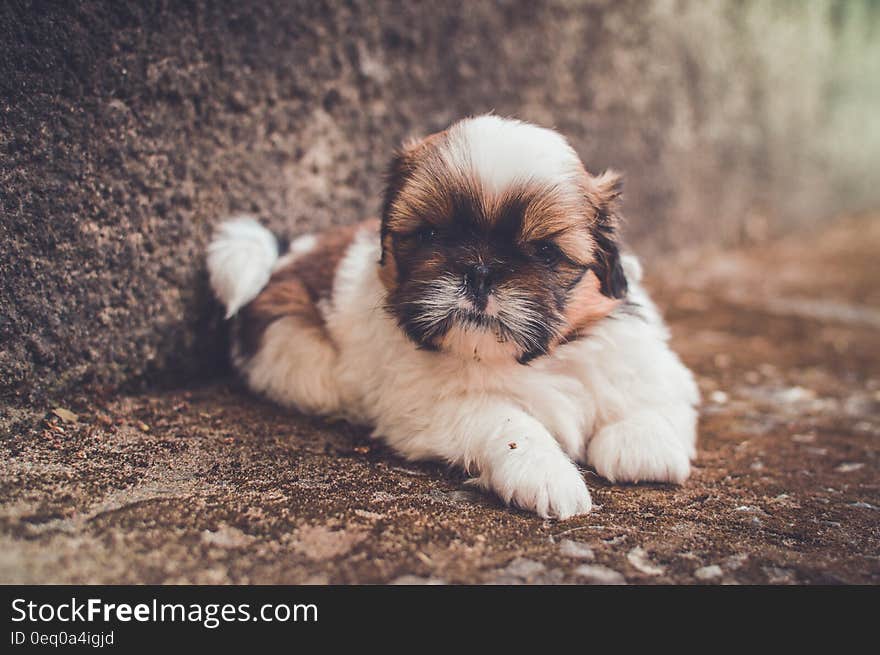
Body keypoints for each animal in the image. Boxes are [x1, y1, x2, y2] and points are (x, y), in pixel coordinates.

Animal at [208, 115, 700, 520]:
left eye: (544, 251)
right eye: (429, 234)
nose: (479, 271)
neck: (529, 361)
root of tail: (286, 257)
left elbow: (649, 390)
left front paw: (641, 443)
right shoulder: (432, 405)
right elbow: (507, 421)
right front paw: (544, 471)